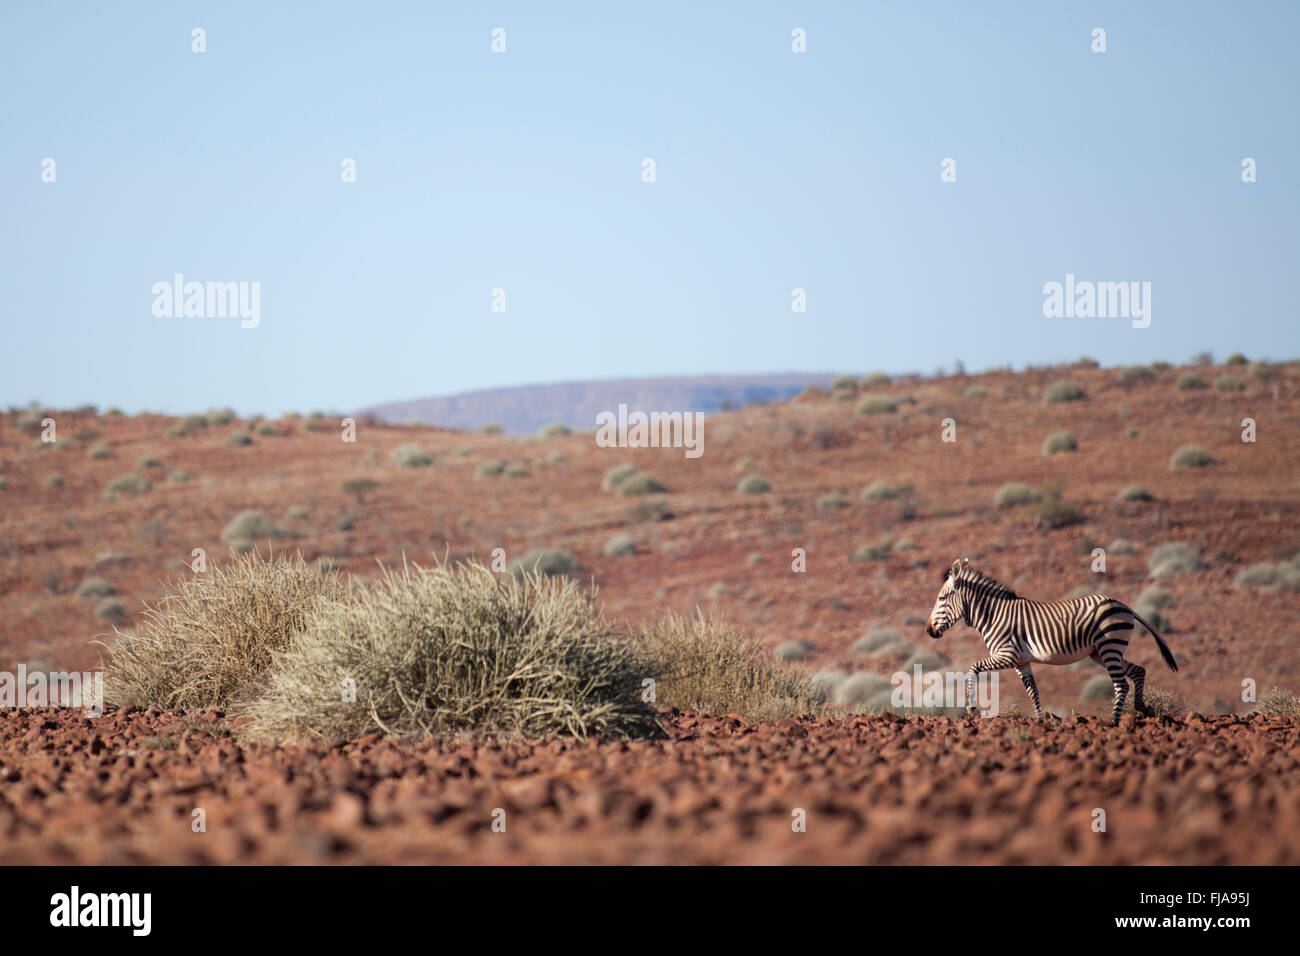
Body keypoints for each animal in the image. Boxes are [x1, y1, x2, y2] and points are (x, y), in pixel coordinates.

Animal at [925, 558, 1178, 725]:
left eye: (941, 598)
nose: (928, 630)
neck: (994, 615)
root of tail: (1124, 605)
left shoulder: (1007, 655)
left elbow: (973, 668)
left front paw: (971, 708)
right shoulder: (1021, 661)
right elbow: (1033, 690)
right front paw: (1040, 720)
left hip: (1109, 647)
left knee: (1121, 684)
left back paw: (1114, 723)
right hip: (1101, 651)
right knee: (1138, 671)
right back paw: (1141, 708)